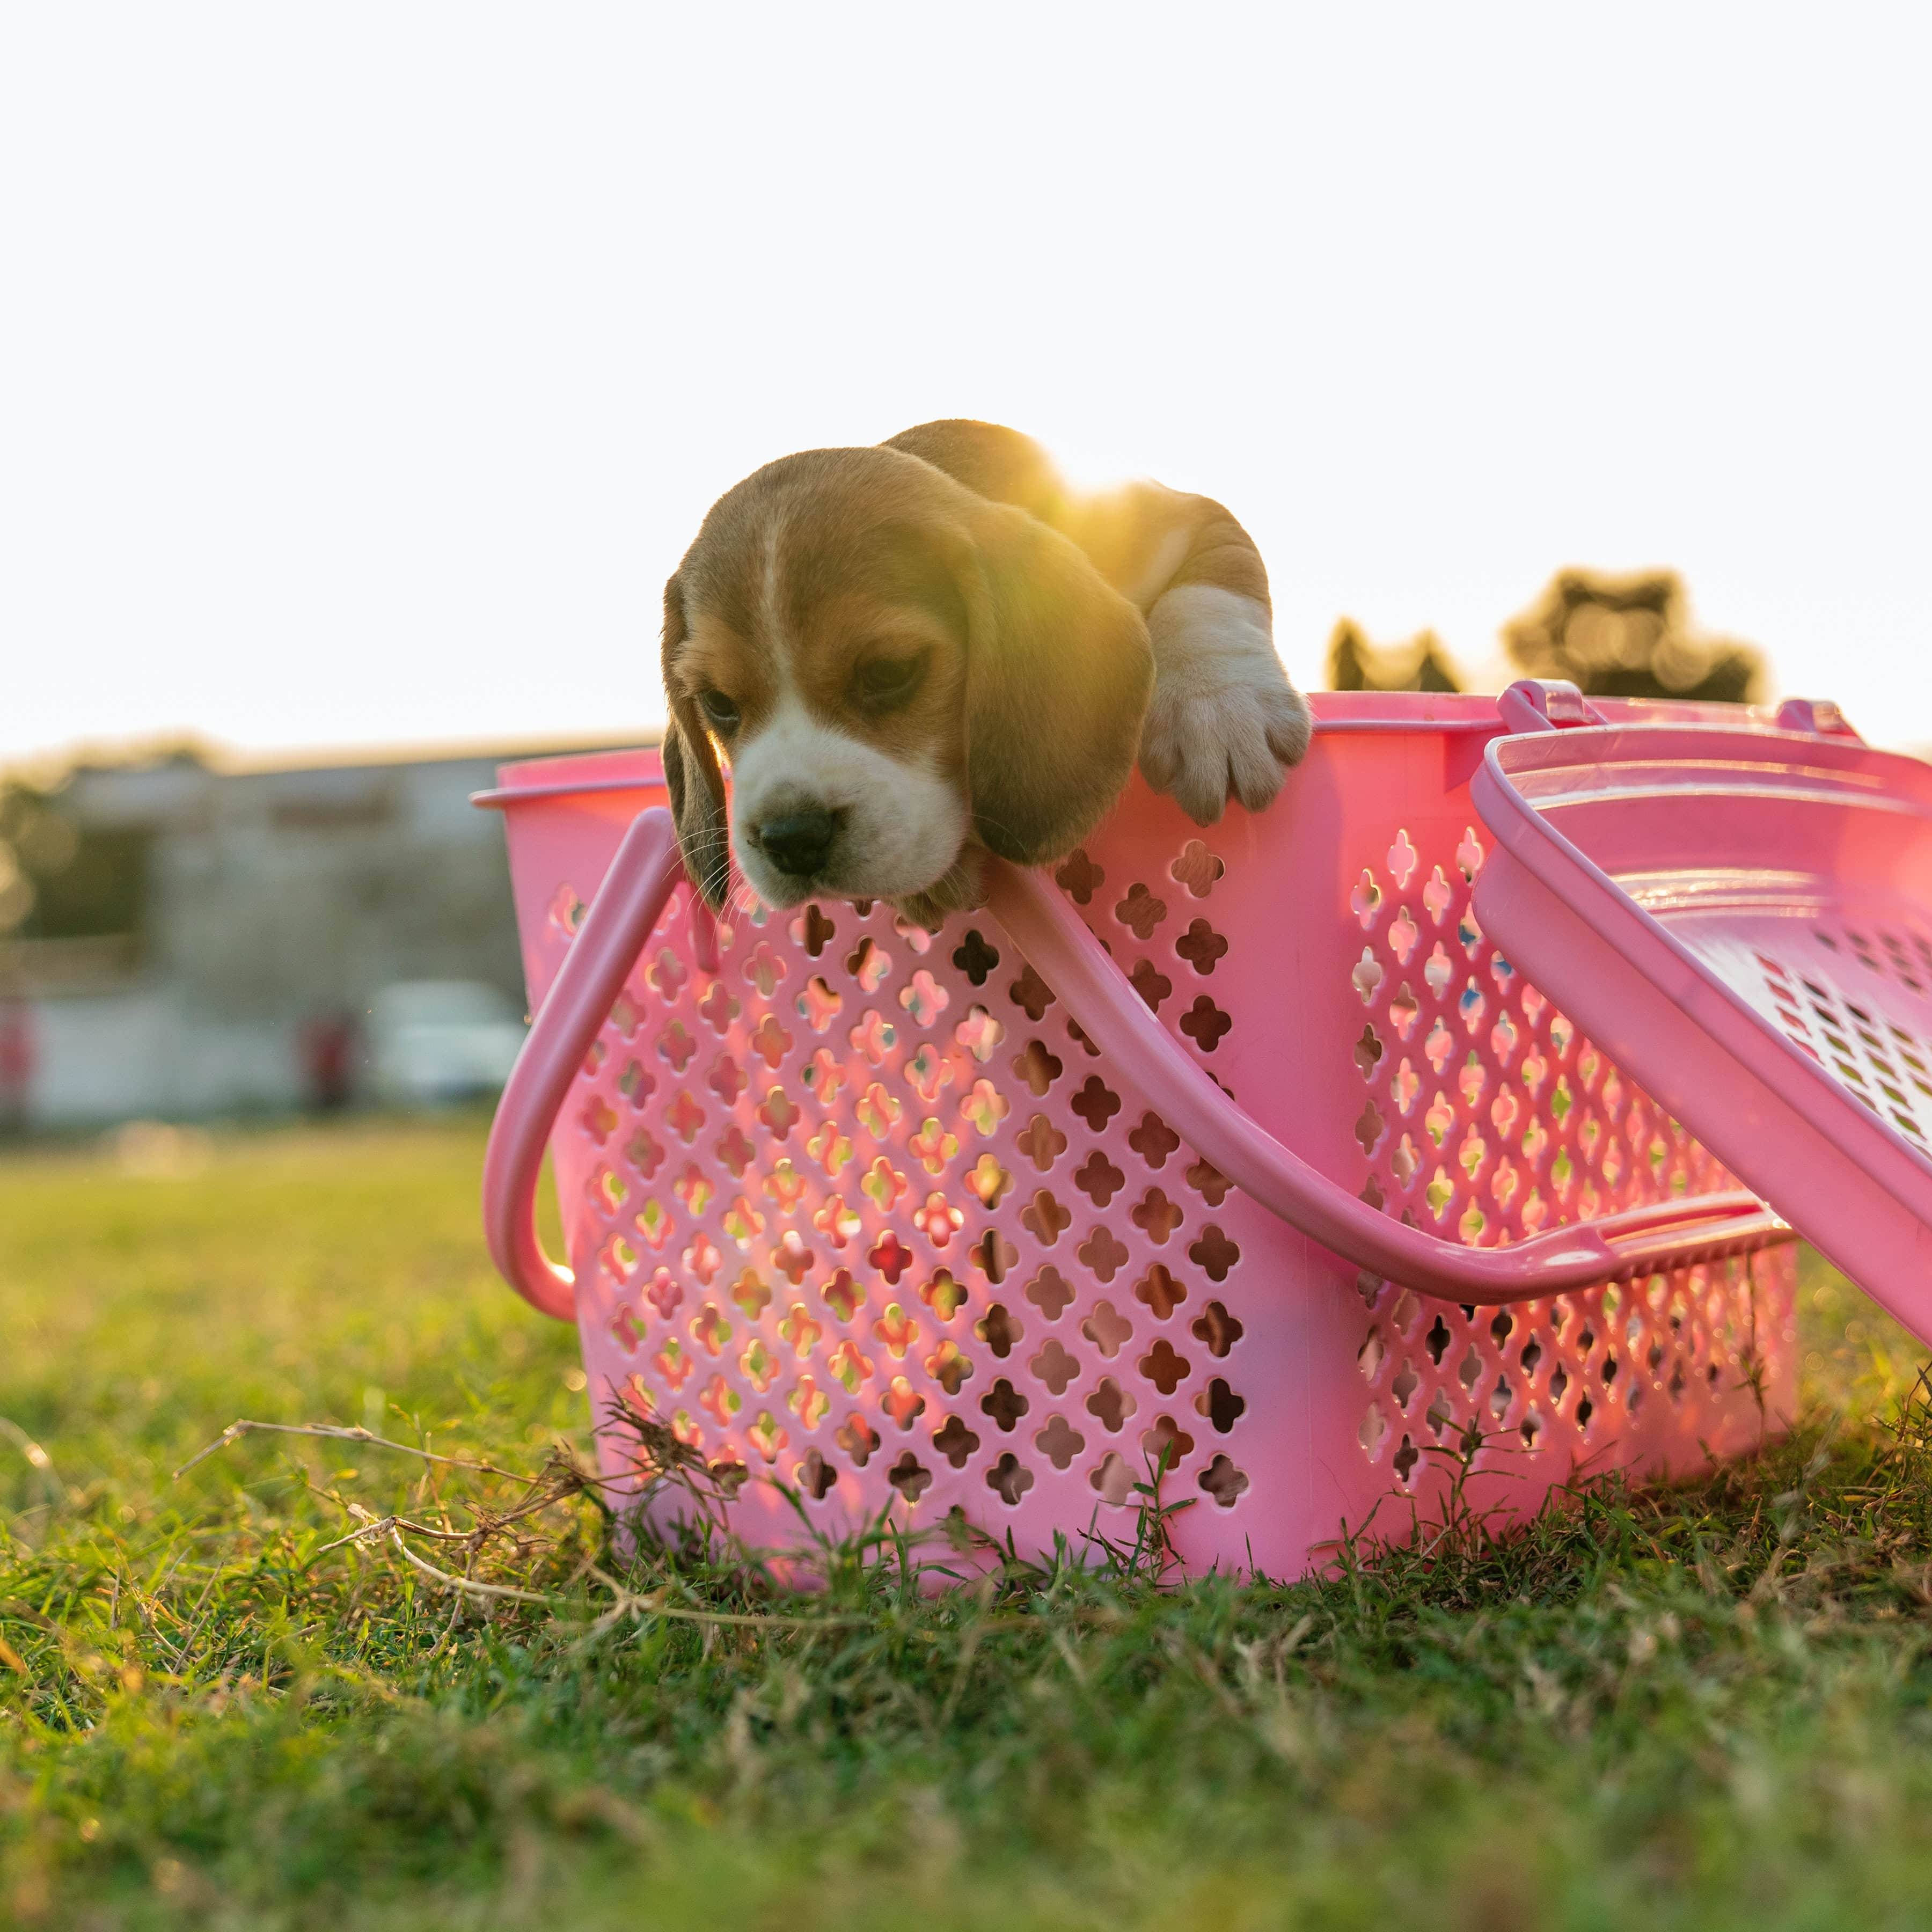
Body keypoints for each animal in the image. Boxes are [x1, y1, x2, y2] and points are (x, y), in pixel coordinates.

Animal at [657, 421, 1306, 927]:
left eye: (890, 670)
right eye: (718, 703)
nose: (791, 838)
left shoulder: (1185, 517)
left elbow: (1206, 590)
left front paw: (1219, 707)